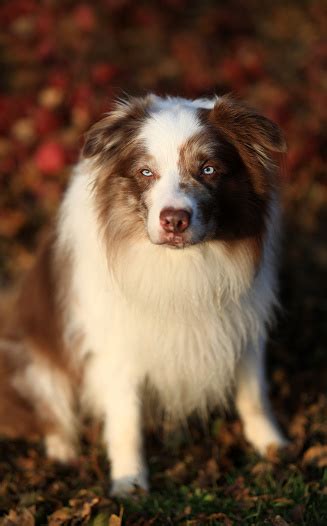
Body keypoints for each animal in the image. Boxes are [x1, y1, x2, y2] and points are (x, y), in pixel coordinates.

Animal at [0, 96, 288, 500]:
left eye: (209, 169)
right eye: (145, 172)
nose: (174, 220)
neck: (181, 266)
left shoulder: (243, 323)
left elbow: (253, 394)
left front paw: (272, 446)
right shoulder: (118, 348)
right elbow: (125, 422)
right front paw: (129, 483)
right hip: (32, 356)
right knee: (50, 408)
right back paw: (62, 448)